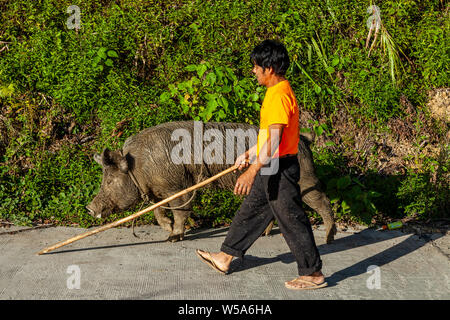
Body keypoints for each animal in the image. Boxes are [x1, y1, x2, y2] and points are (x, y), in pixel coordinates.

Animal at [86, 120, 336, 242]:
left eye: (109, 181)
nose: (89, 207)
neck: (139, 166)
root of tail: (304, 138)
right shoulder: (158, 191)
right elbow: (158, 212)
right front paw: (167, 229)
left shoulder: (177, 187)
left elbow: (181, 210)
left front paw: (173, 237)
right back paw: (266, 235)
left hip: (306, 178)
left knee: (322, 199)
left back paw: (329, 239)